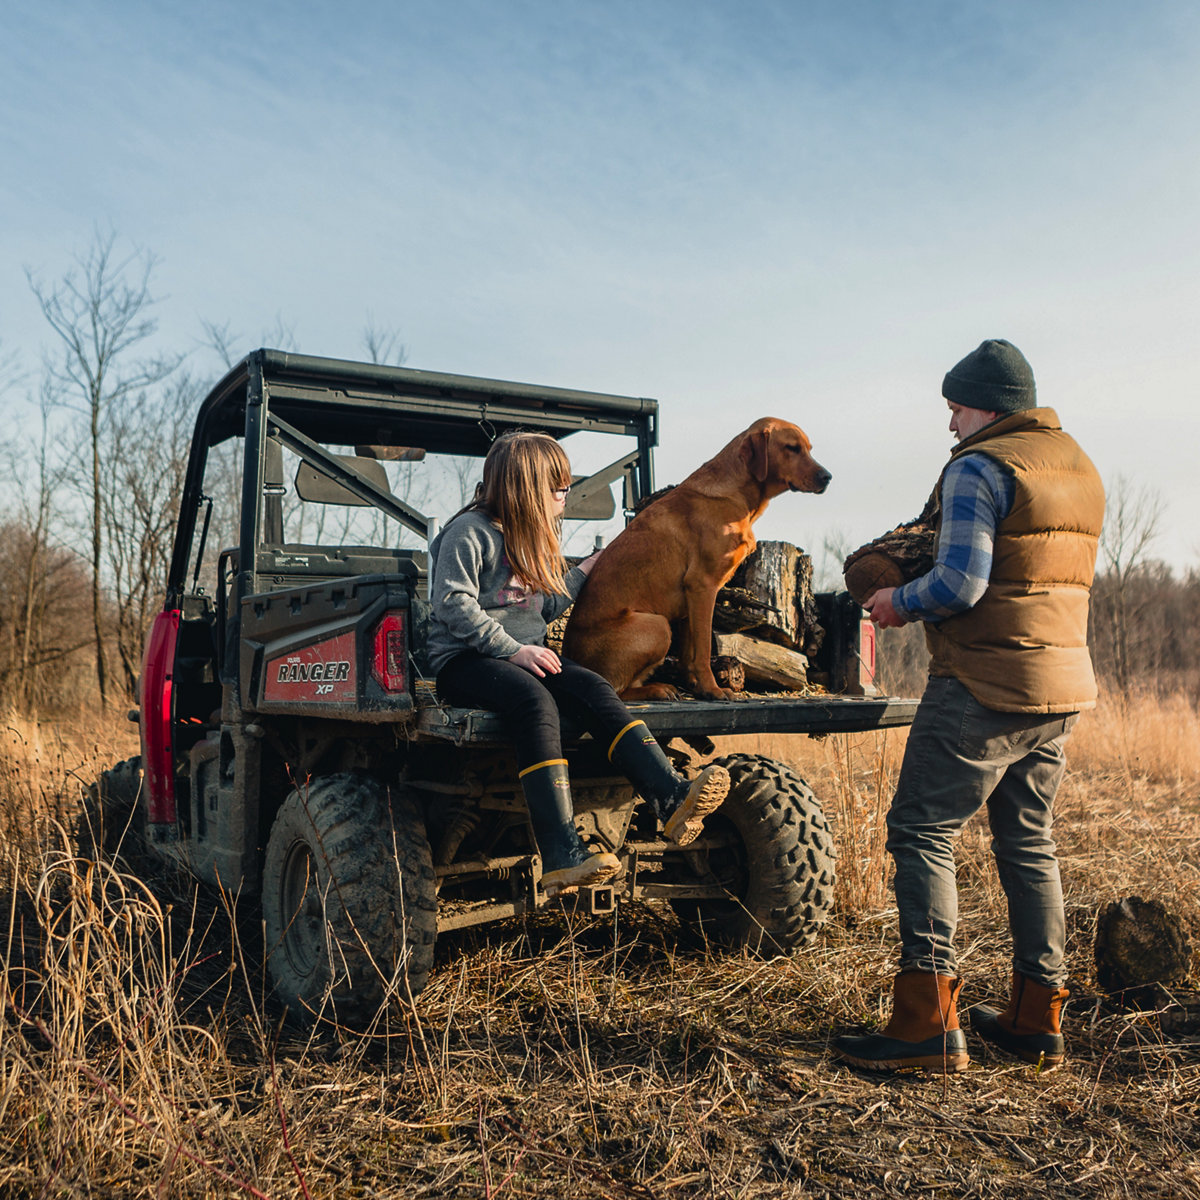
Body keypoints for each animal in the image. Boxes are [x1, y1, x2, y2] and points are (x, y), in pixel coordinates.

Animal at [564, 417, 830, 700]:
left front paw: (698, 687)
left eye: (809, 449)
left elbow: (688, 654)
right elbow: (702, 650)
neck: (738, 497)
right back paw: (657, 689)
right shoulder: (703, 586)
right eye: (792, 448)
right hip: (657, 625)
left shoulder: (689, 603)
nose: (828, 477)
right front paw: (714, 689)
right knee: (616, 689)